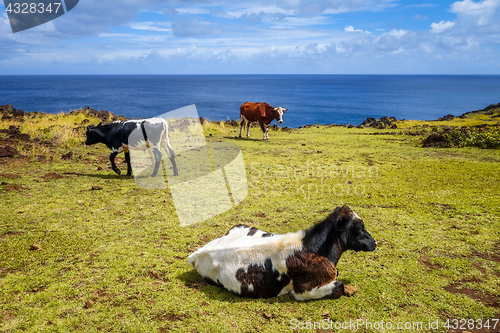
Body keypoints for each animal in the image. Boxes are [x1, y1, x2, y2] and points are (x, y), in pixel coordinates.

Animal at [188, 204, 376, 300]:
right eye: (359, 228)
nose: (374, 242)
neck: (314, 248)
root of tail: (197, 253)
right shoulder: (303, 291)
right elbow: (339, 286)